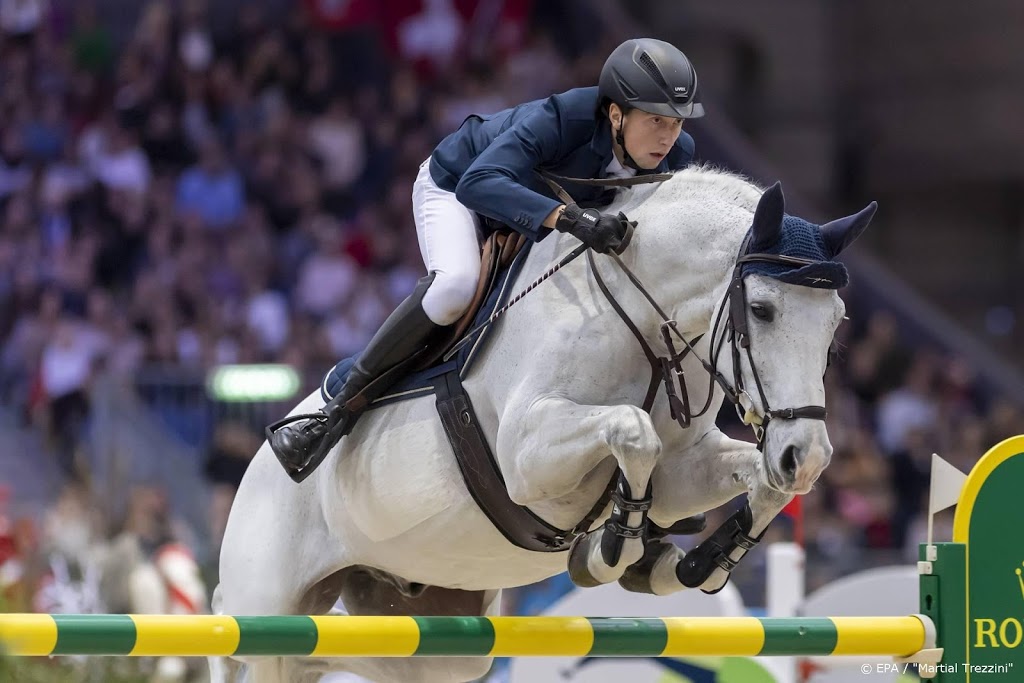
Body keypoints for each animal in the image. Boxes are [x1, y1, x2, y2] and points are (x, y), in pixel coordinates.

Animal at [209, 166, 880, 683]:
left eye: (837, 322)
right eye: (761, 311)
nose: (807, 456)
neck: (635, 313)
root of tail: (254, 472)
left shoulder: (685, 471)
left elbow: (746, 480)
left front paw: (692, 562)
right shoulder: (529, 460)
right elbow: (632, 430)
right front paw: (612, 549)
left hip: (428, 636)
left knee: (331, 656)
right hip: (268, 601)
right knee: (250, 638)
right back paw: (305, 441)